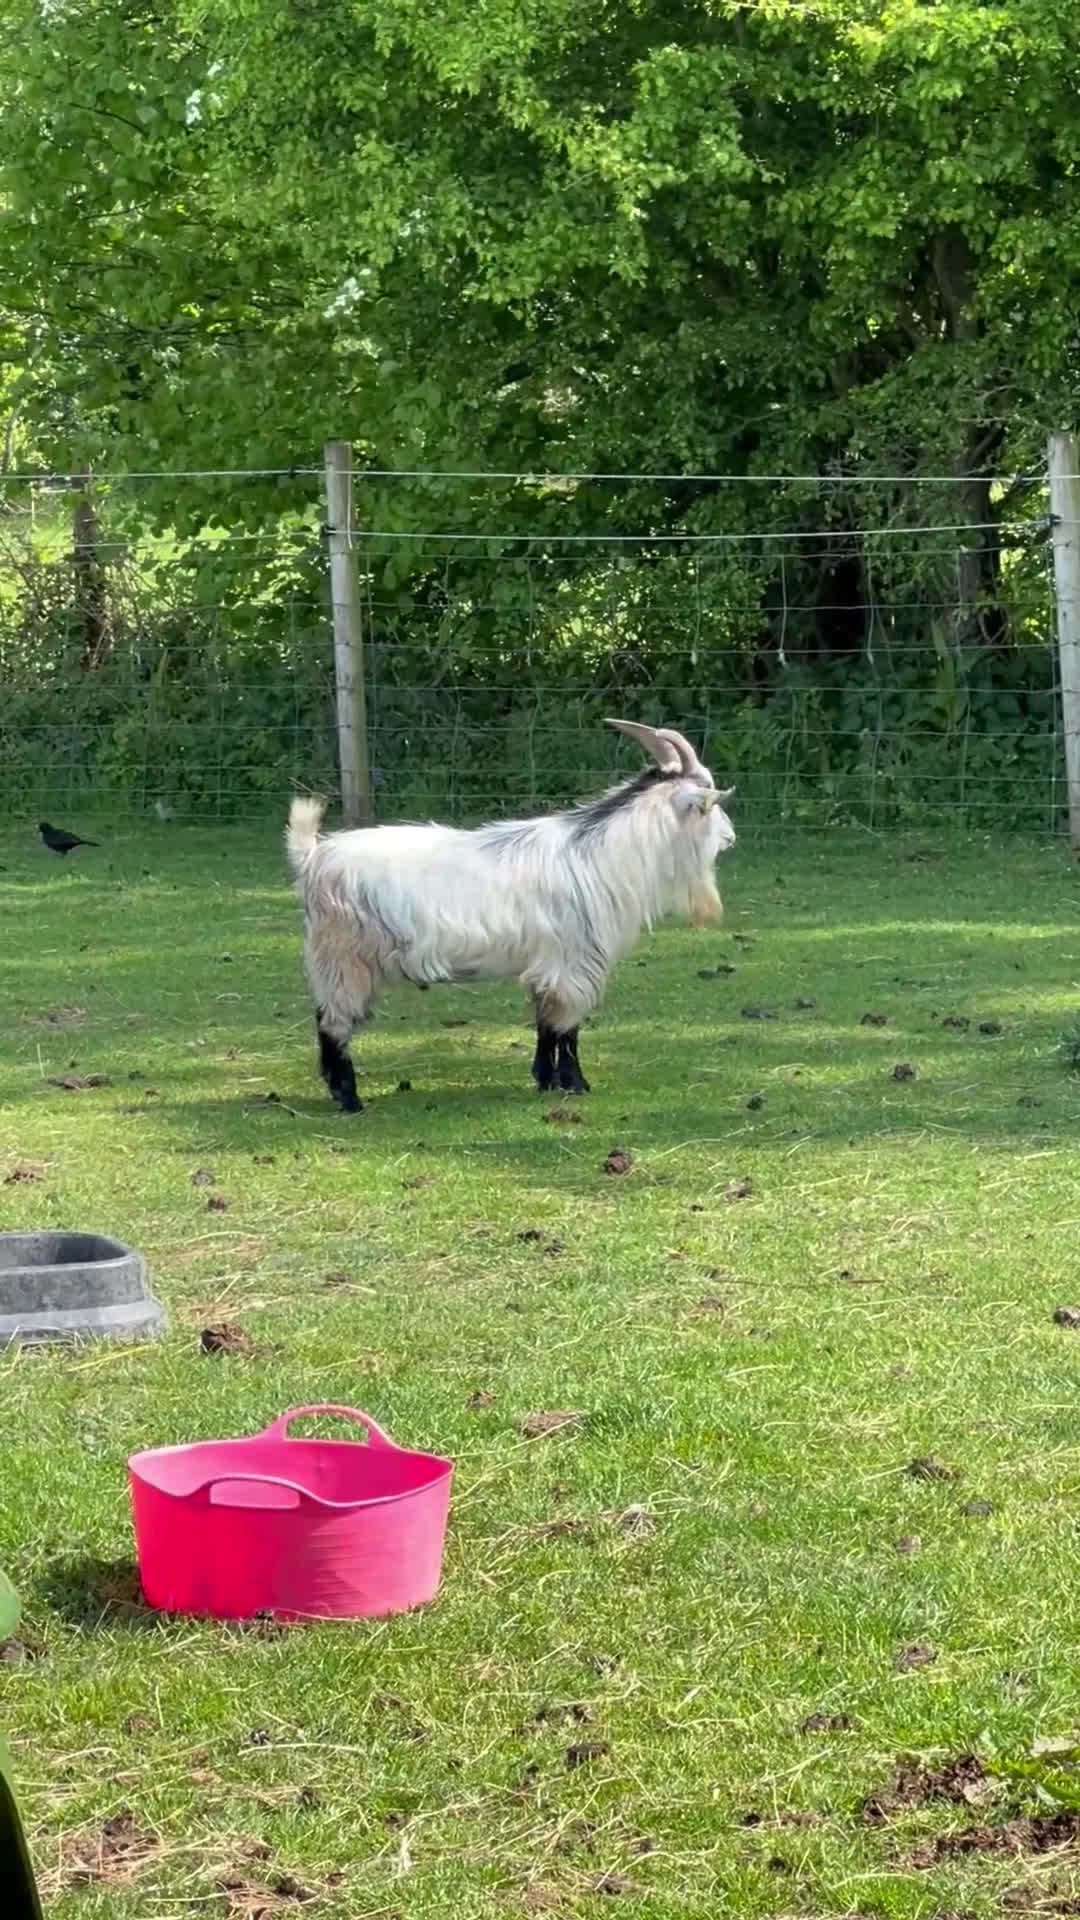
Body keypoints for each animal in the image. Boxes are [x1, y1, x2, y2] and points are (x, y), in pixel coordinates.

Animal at [285, 719, 735, 1111]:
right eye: (710, 805)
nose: (731, 837)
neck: (600, 854)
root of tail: (314, 857)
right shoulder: (574, 963)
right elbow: (568, 1028)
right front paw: (575, 1084)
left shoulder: (549, 966)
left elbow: (545, 1024)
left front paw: (545, 1080)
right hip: (344, 959)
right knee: (333, 1025)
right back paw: (349, 1099)